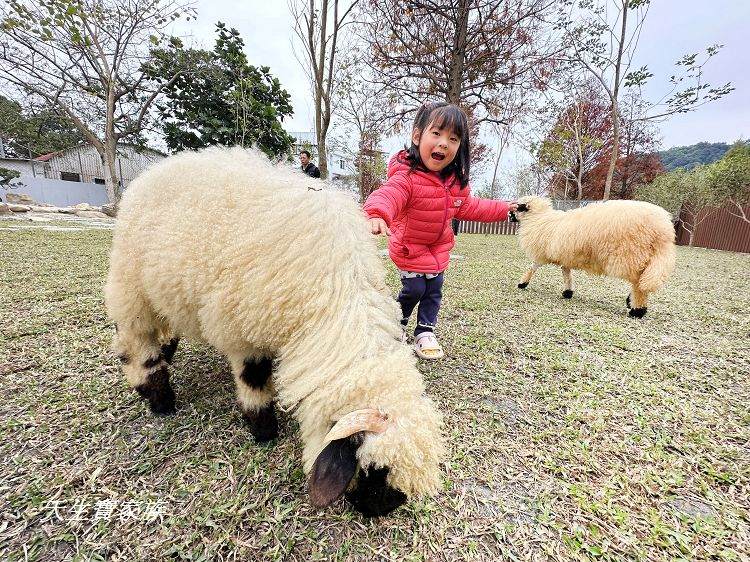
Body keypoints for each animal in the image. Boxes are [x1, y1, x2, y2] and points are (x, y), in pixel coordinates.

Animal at [106, 145, 446, 516]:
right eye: (373, 470)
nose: (373, 510)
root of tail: (154, 169)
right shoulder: (242, 329)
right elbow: (254, 377)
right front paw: (263, 427)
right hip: (131, 285)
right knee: (135, 340)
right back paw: (155, 394)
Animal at [516, 196, 680, 318]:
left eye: (517, 208)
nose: (510, 216)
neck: (538, 219)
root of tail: (663, 230)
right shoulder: (565, 255)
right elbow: (566, 272)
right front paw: (568, 292)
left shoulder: (541, 254)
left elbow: (533, 267)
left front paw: (523, 283)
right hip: (644, 259)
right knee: (642, 282)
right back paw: (632, 302)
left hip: (631, 255)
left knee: (638, 284)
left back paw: (637, 310)